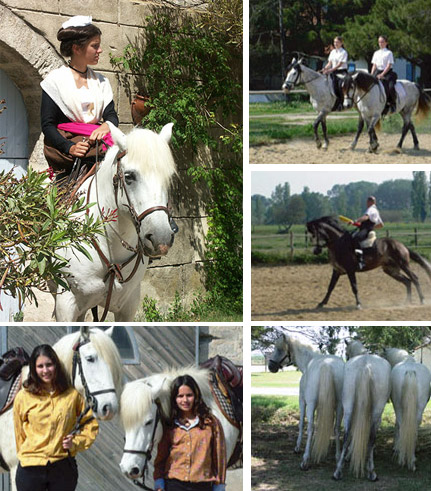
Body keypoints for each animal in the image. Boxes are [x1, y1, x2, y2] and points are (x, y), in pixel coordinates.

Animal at [268, 334, 346, 468]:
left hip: (311, 404)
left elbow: (301, 424)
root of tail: (327, 365)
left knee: (310, 428)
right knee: (337, 428)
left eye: (279, 349)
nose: (270, 366)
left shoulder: (302, 402)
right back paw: (338, 457)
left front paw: (297, 447)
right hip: (340, 405)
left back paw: (305, 459)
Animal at [336, 340, 394, 482]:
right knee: (372, 437)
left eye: (346, 353)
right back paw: (371, 471)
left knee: (346, 435)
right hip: (377, 411)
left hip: (348, 407)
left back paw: (338, 471)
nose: (347, 358)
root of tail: (366, 365)